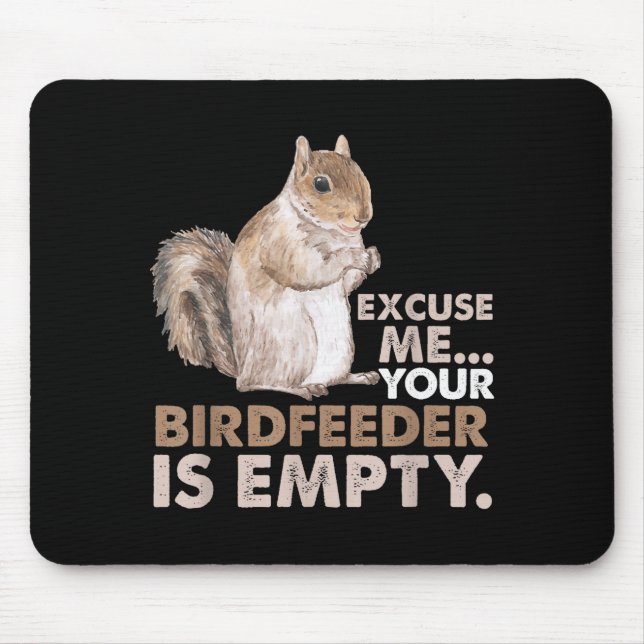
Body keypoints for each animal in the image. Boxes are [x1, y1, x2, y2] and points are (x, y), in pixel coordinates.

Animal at [152, 135, 381, 400]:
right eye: (321, 184)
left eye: (359, 172)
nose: (363, 216)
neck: (331, 233)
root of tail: (241, 366)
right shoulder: (279, 242)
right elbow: (309, 270)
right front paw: (354, 257)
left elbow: (347, 284)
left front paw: (373, 257)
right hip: (293, 344)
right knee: (252, 384)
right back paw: (300, 389)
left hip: (341, 348)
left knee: (332, 377)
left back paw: (356, 377)